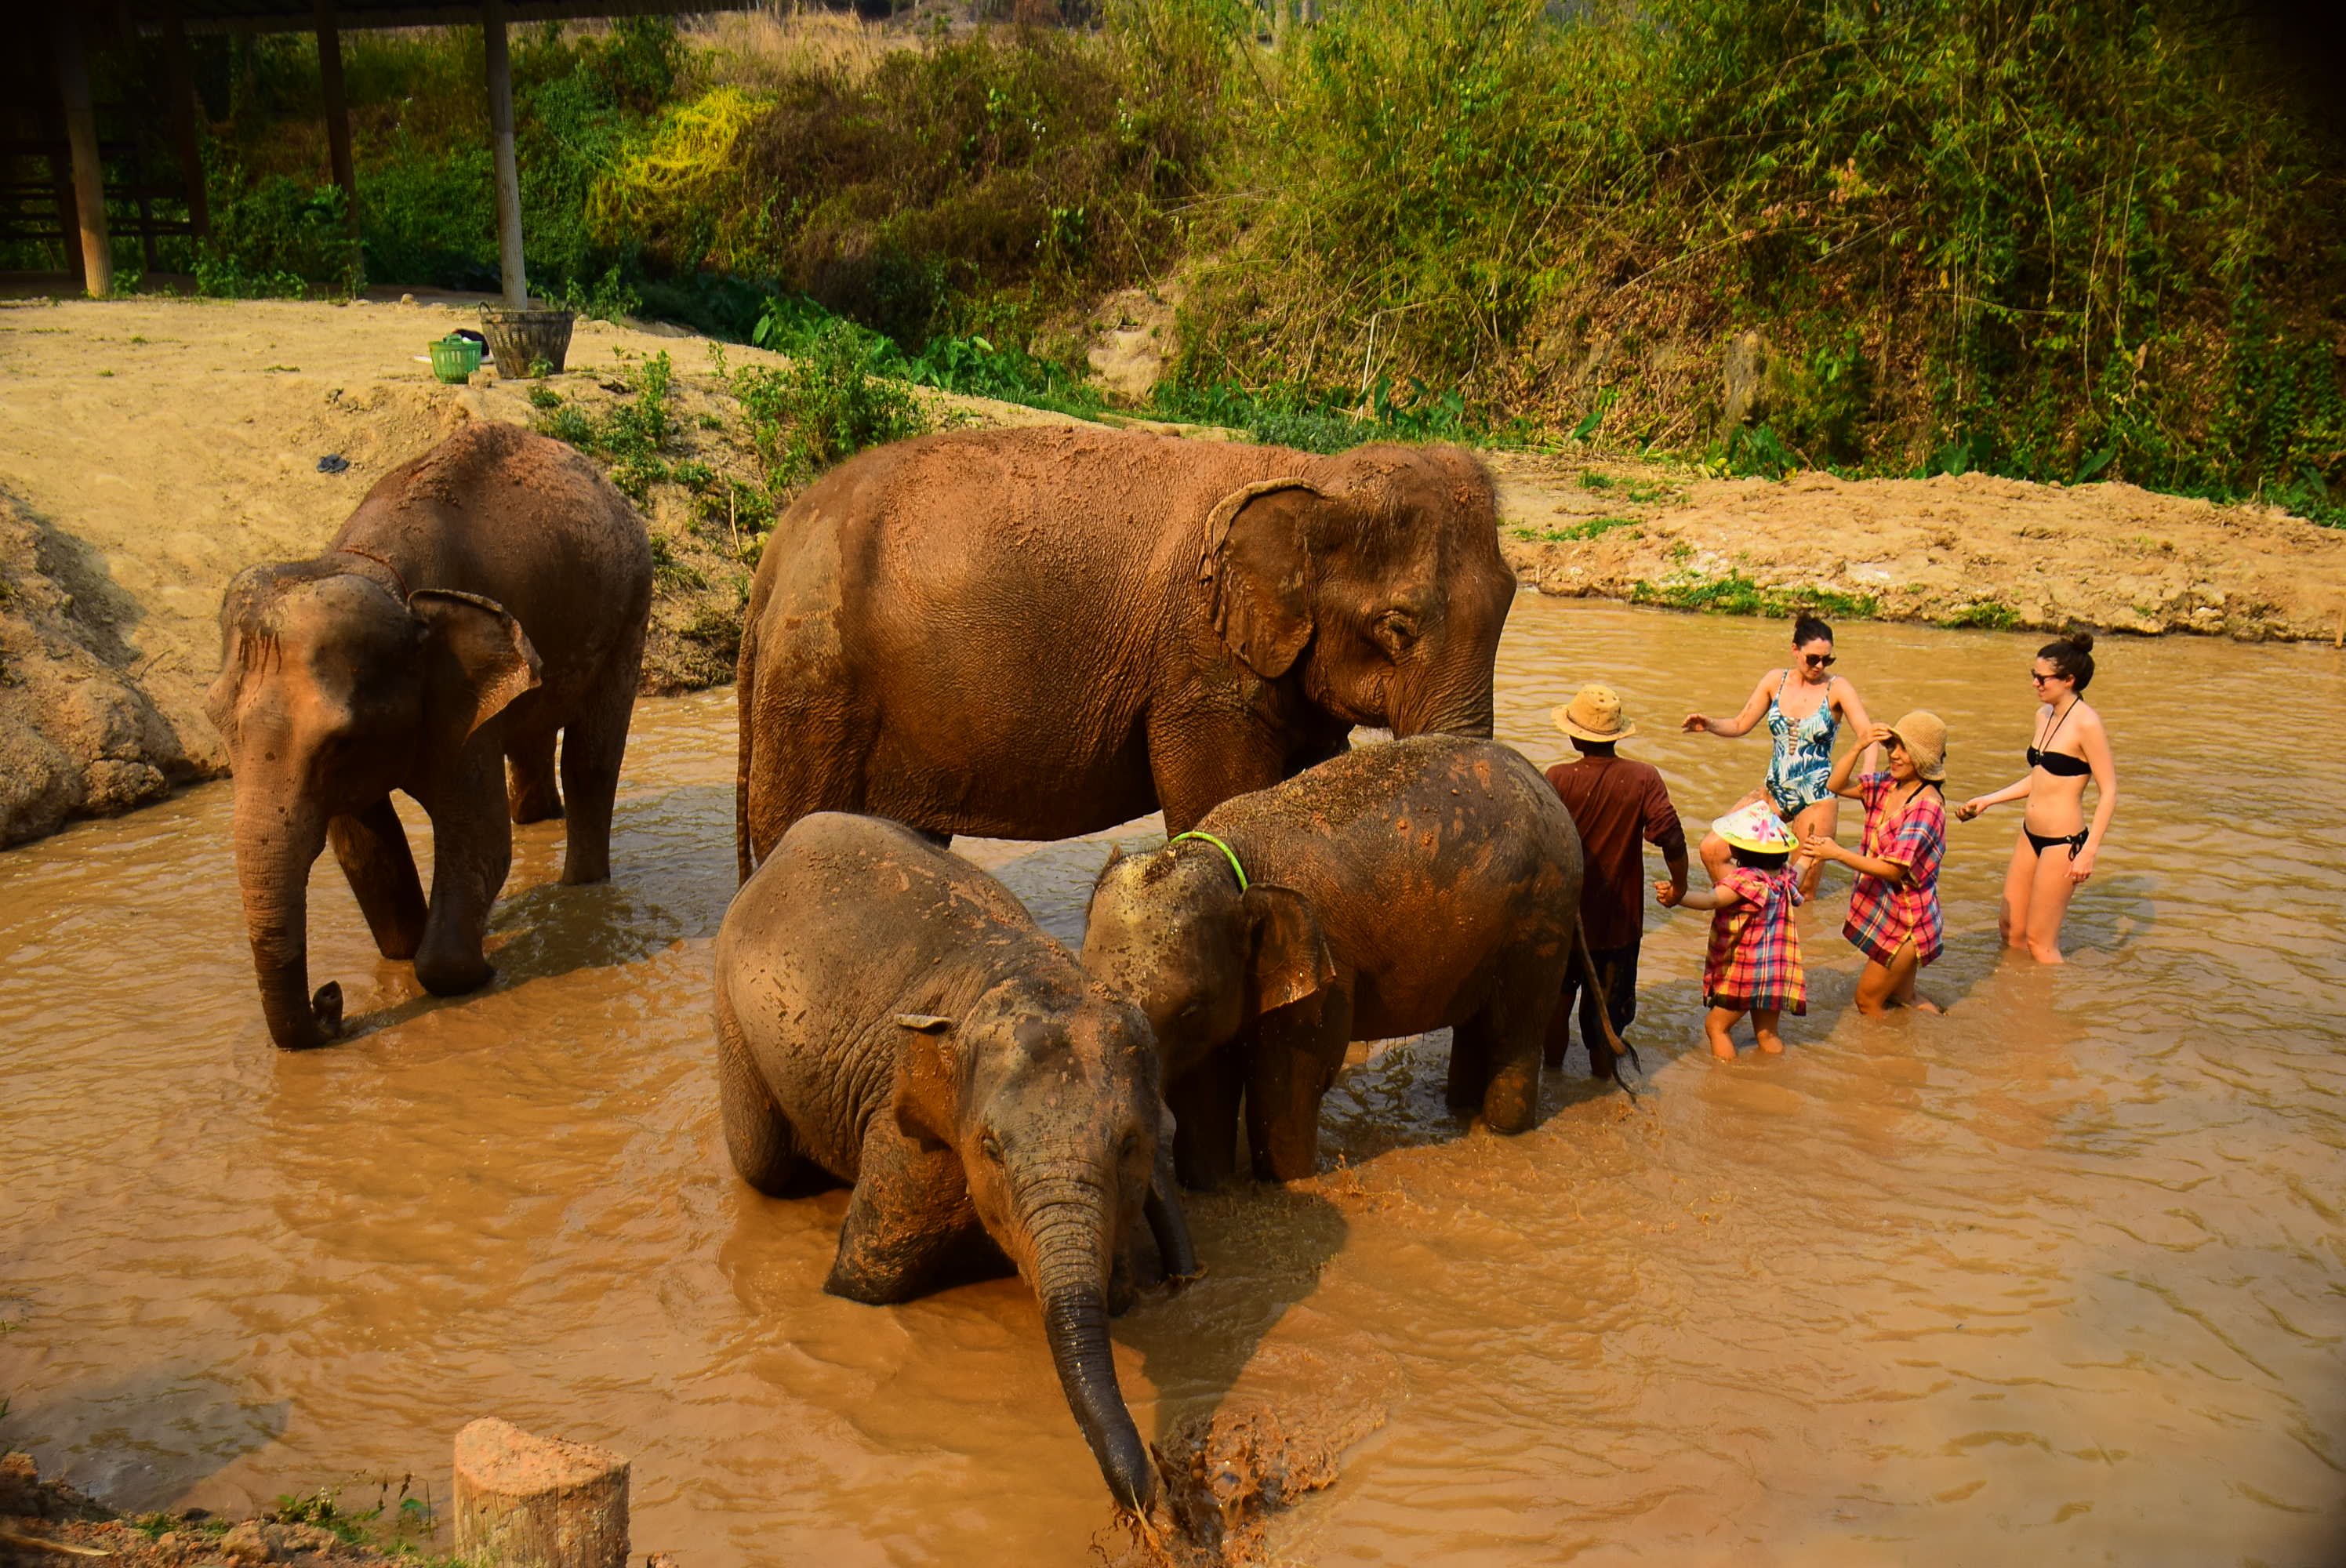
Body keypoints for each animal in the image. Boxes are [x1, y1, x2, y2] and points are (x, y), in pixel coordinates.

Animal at [205, 422, 652, 1047]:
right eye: (214, 723)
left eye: (339, 742)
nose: (330, 997)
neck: (374, 569)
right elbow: (365, 848)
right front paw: (408, 948)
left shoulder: (458, 695)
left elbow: (478, 836)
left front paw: (482, 967)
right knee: (532, 739)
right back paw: (540, 819)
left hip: (632, 602)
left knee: (590, 758)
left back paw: (580, 889)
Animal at [708, 816, 1191, 1512]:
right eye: (990, 1148)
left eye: (1128, 1144)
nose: (1149, 1494)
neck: (1023, 971)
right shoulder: (908, 1140)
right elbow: (863, 1283)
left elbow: (1119, 1292)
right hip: (732, 1014)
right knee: (761, 1167)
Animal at [722, 422, 1520, 877]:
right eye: (1397, 628)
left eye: (1512, 597)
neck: (1313, 472)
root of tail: (773, 557)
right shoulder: (1196, 672)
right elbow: (1218, 801)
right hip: (815, 690)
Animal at [1084, 737, 1623, 1187]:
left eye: (1189, 1009)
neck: (1228, 856)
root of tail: (1544, 784)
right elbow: (1203, 1088)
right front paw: (1208, 1188)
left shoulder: (1329, 973)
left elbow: (1287, 1084)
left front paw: (1289, 1184)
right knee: (1478, 1028)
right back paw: (1460, 1113)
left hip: (1542, 916)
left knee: (1513, 1033)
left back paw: (1501, 1130)